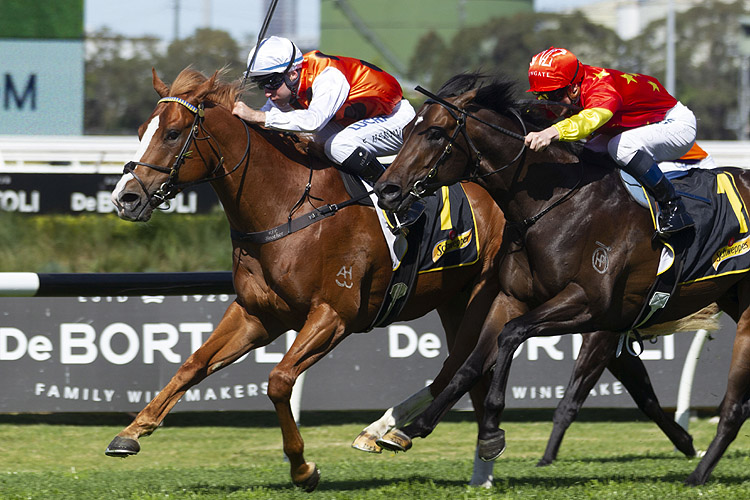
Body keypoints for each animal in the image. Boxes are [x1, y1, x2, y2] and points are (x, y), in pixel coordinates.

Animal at [376, 74, 748, 484]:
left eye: (435, 133)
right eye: (407, 130)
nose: (386, 189)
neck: (555, 205)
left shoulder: (590, 306)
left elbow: (513, 337)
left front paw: (491, 432)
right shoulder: (513, 299)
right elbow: (472, 363)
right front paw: (410, 428)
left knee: (734, 407)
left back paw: (697, 475)